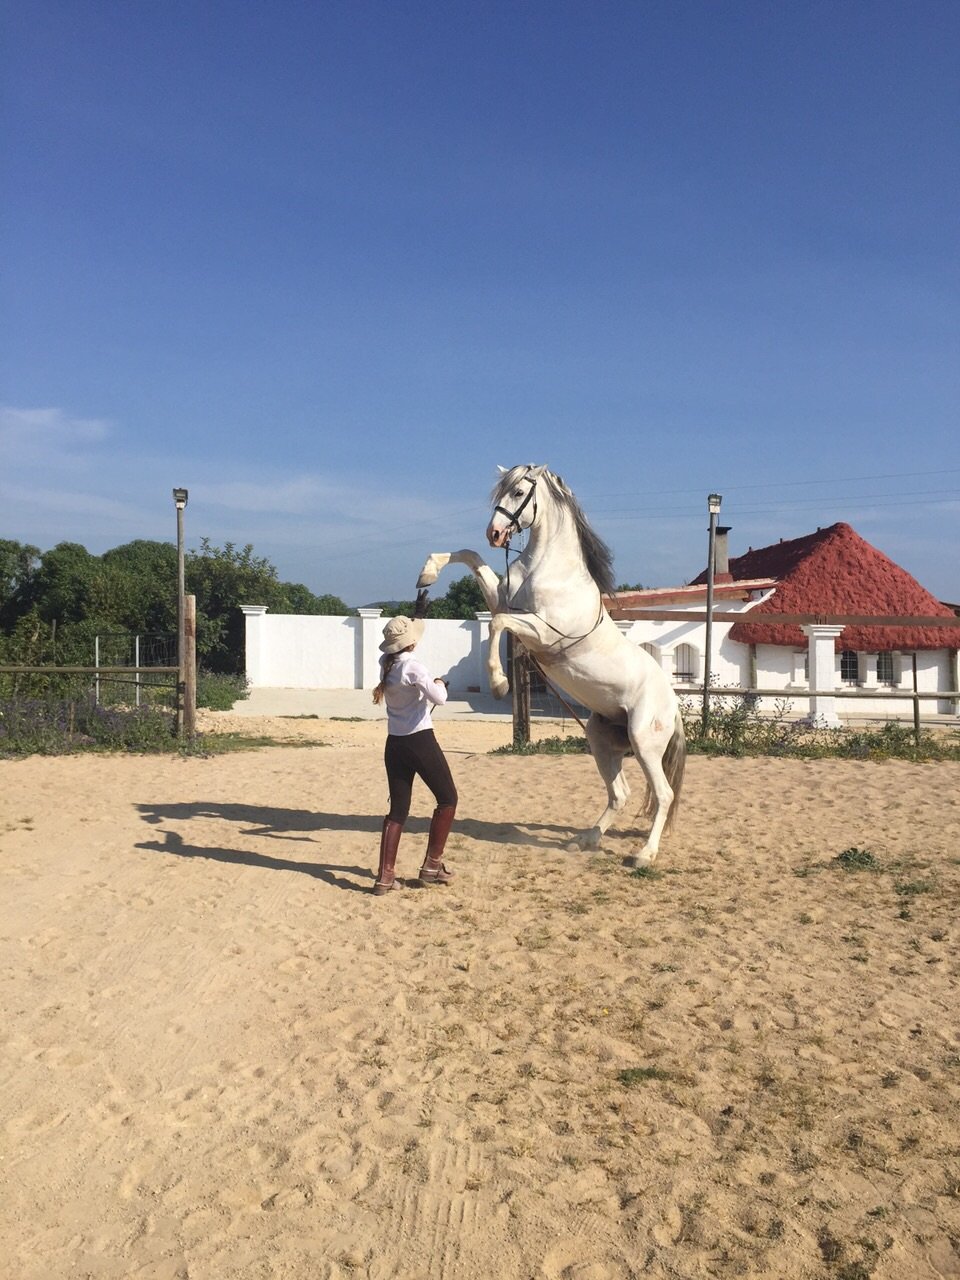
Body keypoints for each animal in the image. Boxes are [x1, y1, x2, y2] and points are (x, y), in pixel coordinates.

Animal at [417, 464, 685, 865]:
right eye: (501, 490)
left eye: (518, 493)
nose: (495, 533)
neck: (547, 568)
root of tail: (673, 705)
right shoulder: (502, 601)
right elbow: (470, 557)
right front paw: (427, 572)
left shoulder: (541, 630)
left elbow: (497, 624)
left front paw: (499, 684)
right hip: (602, 740)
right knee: (619, 793)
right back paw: (585, 840)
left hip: (644, 742)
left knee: (663, 795)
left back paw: (643, 855)